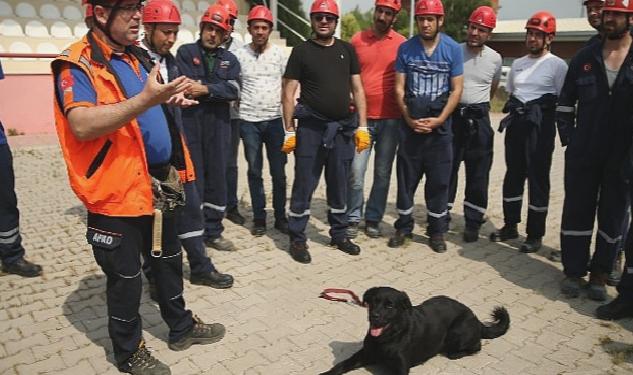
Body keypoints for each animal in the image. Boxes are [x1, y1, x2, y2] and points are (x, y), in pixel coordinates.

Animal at [320, 288, 508, 374]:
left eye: (389, 306)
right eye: (373, 302)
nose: (374, 316)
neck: (388, 338)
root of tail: (476, 319)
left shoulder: (401, 368)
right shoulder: (364, 354)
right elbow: (341, 365)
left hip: (458, 331)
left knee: (476, 346)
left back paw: (457, 353)